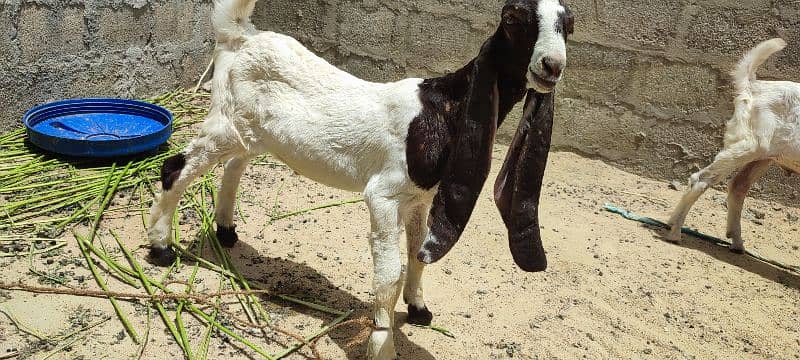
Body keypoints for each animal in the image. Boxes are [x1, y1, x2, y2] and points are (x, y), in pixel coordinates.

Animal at [148, 0, 576, 358]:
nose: (551, 66)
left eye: (568, 25)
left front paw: (419, 308)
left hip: (255, 132)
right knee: (176, 169)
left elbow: (417, 253)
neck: (439, 110)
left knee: (234, 166)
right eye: (512, 20)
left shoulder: (420, 198)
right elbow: (387, 276)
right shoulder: (383, 195)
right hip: (226, 120)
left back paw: (225, 231)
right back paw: (161, 248)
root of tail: (243, 35)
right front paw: (382, 345)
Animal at [664, 38, 796, 253]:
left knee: (737, 186)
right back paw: (675, 232)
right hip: (750, 145)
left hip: (763, 156)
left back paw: (735, 242)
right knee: (701, 179)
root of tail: (754, 86)